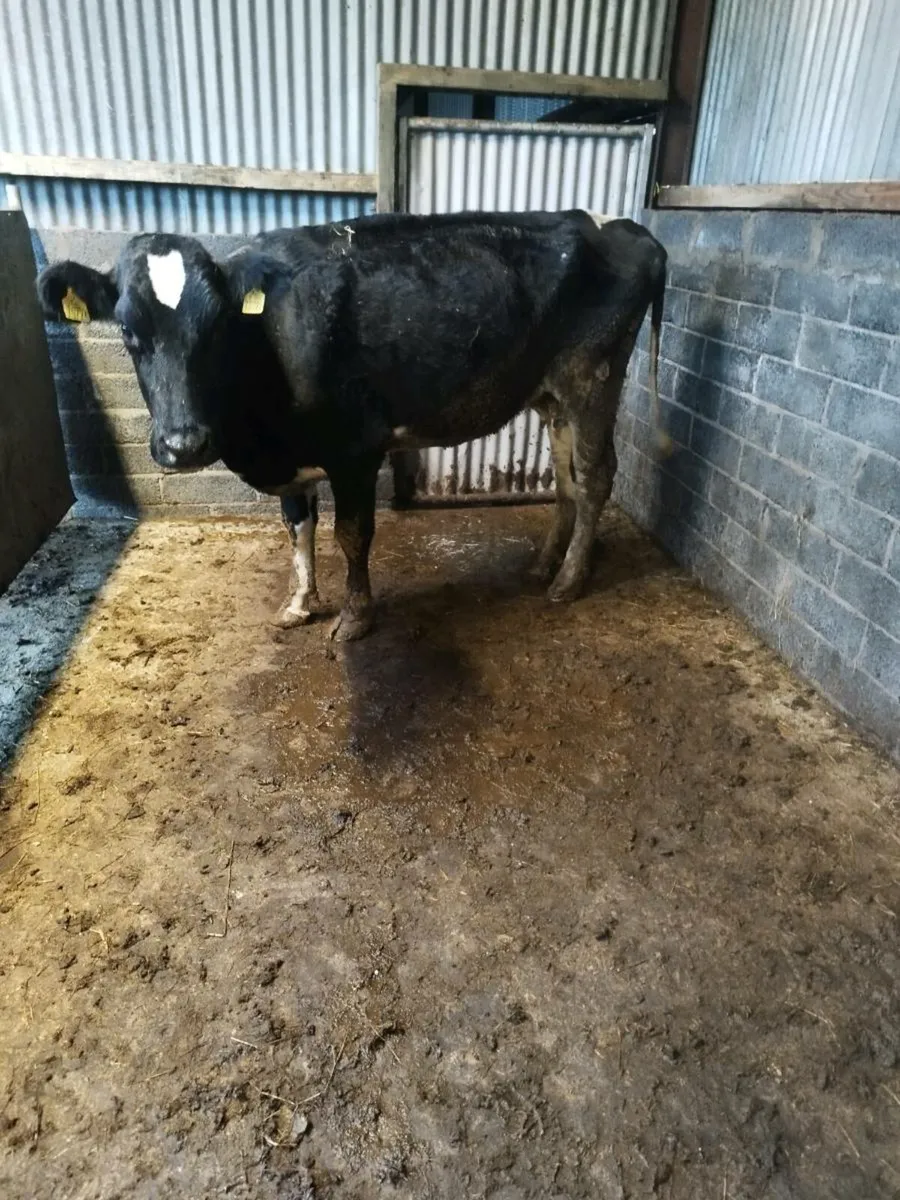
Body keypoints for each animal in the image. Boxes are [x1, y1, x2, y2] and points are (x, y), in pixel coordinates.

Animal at [36, 210, 669, 641]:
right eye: (127, 331)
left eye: (216, 327)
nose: (184, 444)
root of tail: (620, 228)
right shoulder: (294, 459)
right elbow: (298, 528)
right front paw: (300, 603)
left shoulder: (357, 450)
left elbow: (352, 535)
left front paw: (354, 616)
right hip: (550, 395)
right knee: (565, 477)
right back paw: (543, 565)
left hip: (593, 376)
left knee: (594, 477)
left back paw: (568, 582)